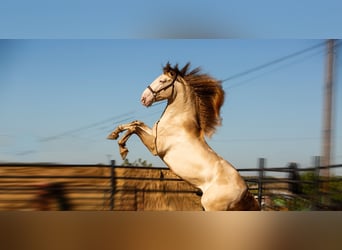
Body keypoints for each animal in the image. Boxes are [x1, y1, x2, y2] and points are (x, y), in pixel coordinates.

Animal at [108, 63, 260, 211]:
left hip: (211, 206)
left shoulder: (154, 147)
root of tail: (245, 190)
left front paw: (122, 149)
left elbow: (134, 127)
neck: (178, 122)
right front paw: (114, 135)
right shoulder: (154, 134)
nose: (143, 98)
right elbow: (136, 123)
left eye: (162, 80)